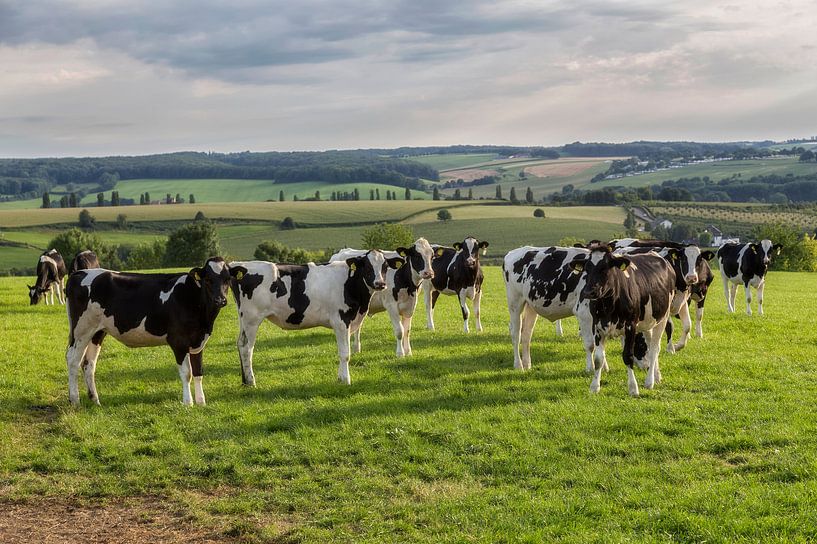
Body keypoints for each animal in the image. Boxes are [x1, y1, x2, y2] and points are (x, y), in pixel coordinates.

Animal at [65, 258, 241, 406]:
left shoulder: (198, 341)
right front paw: (188, 403)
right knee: (73, 360)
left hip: (97, 332)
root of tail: (80, 273)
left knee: (89, 364)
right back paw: (75, 400)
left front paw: (201, 402)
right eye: (208, 279)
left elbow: (198, 372)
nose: (220, 300)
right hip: (81, 330)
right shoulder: (179, 342)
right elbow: (187, 373)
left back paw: (95, 400)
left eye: (227, 279)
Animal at [230, 251, 402, 386]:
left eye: (385, 266)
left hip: (243, 319)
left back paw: (245, 381)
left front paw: (340, 378)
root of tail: (240, 265)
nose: (380, 283)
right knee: (247, 347)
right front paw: (346, 380)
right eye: (367, 266)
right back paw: (251, 381)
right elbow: (345, 353)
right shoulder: (341, 321)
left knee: (240, 344)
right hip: (252, 319)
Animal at [568, 248, 676, 396]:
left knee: (655, 349)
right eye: (587, 269)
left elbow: (628, 356)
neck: (609, 305)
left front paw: (633, 388)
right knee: (649, 344)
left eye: (605, 267)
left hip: (662, 317)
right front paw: (595, 386)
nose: (589, 292)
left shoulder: (630, 326)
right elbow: (598, 359)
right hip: (647, 322)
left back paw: (650, 381)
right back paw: (656, 375)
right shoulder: (597, 327)